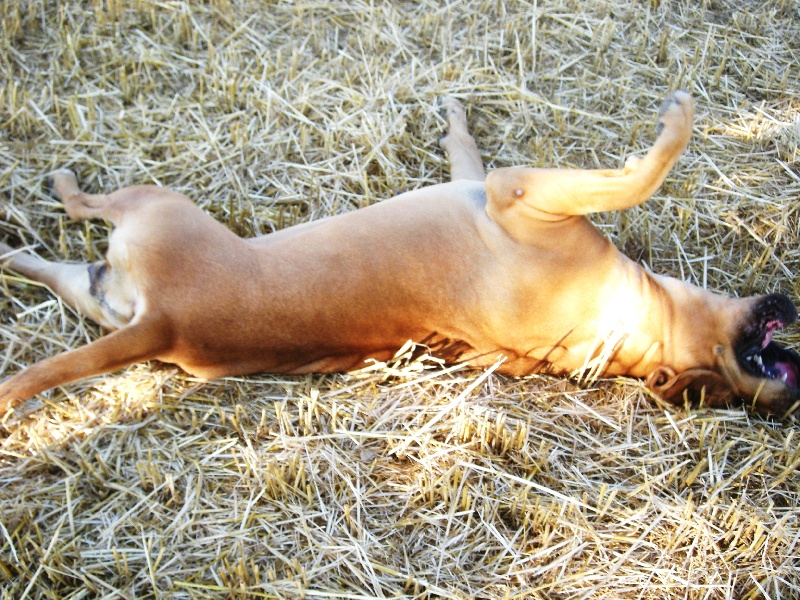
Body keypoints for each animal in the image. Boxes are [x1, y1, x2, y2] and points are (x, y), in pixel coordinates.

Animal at [0, 92, 796, 418]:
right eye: (738, 384)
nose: (788, 395)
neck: (632, 331)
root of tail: (164, 321)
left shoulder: (515, 193)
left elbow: (640, 172)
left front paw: (673, 126)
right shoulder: (498, 188)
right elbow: (472, 147)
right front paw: (454, 113)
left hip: (151, 210)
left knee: (83, 207)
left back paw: (51, 198)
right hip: (105, 292)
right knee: (56, 260)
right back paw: (17, 253)